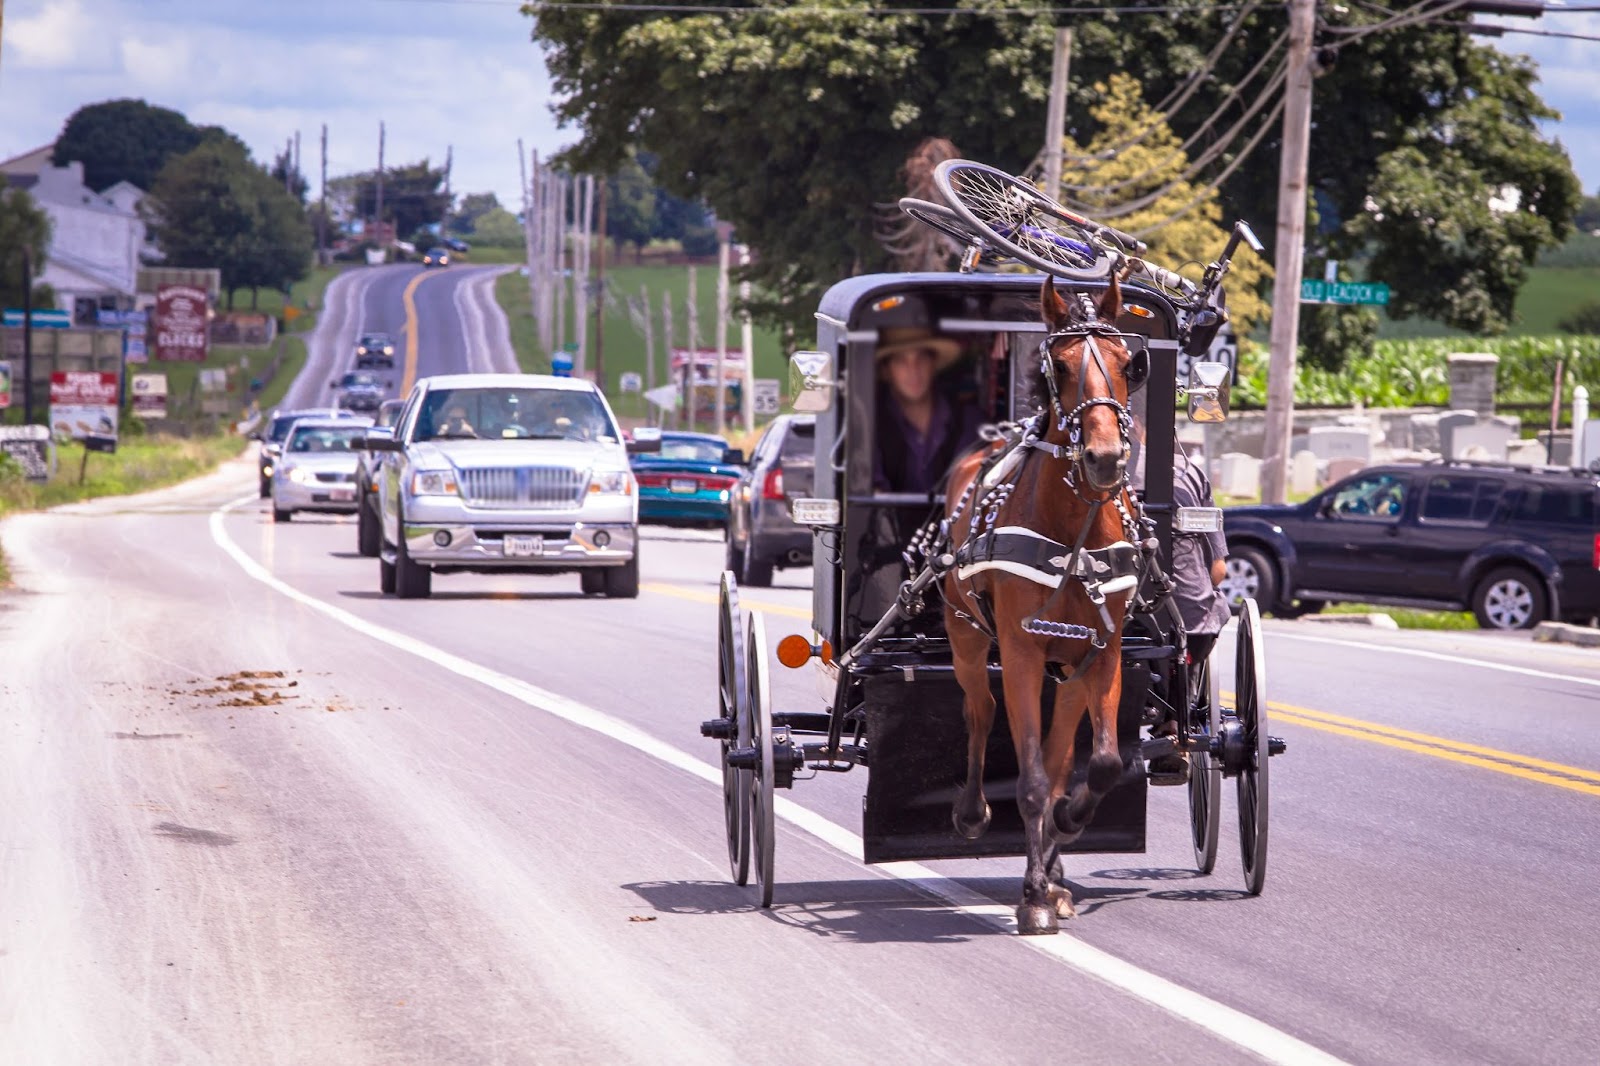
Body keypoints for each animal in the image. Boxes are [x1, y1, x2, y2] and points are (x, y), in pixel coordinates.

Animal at [940, 272, 1145, 928]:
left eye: (1129, 364)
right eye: (1060, 364)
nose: (1105, 459)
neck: (1073, 533)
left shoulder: (1102, 651)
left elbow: (1097, 765)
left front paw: (1063, 834)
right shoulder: (1023, 654)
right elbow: (1029, 780)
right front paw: (1032, 895)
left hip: (1070, 670)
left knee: (1059, 759)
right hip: (966, 638)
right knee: (979, 711)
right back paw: (973, 812)